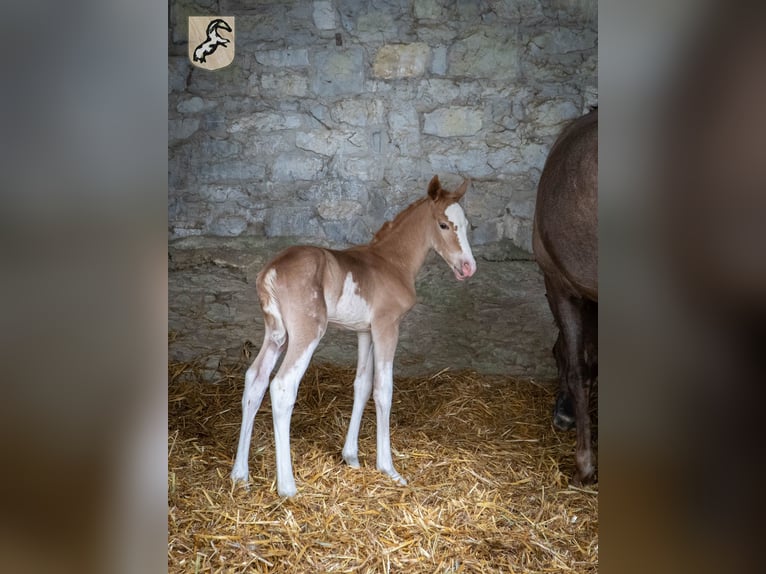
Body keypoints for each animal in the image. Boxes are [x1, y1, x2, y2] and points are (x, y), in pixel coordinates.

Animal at [231, 177, 476, 500]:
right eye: (444, 225)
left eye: (467, 224)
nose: (468, 267)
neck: (391, 262)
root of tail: (270, 270)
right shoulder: (387, 326)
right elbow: (383, 389)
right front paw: (389, 469)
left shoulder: (365, 331)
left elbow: (362, 385)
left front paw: (352, 457)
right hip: (307, 332)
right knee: (282, 386)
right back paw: (288, 487)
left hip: (275, 333)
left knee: (255, 380)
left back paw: (240, 476)